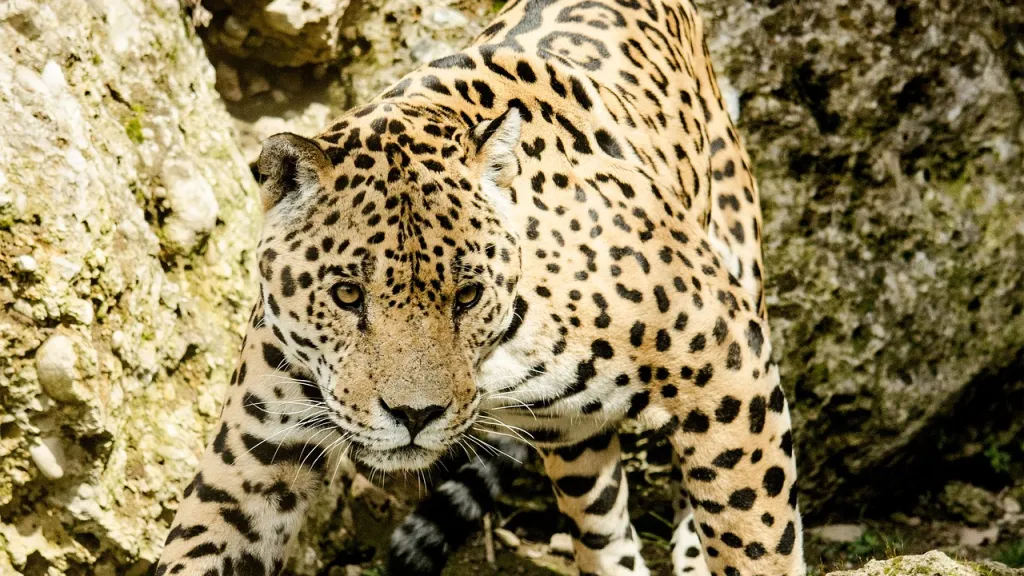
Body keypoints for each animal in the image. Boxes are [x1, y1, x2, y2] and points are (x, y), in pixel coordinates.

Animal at [154, 0, 805, 575]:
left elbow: (754, 536)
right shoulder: (254, 459)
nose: (415, 415)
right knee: (603, 528)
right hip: (572, 438)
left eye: (466, 296)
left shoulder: (730, 366)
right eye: (346, 295)